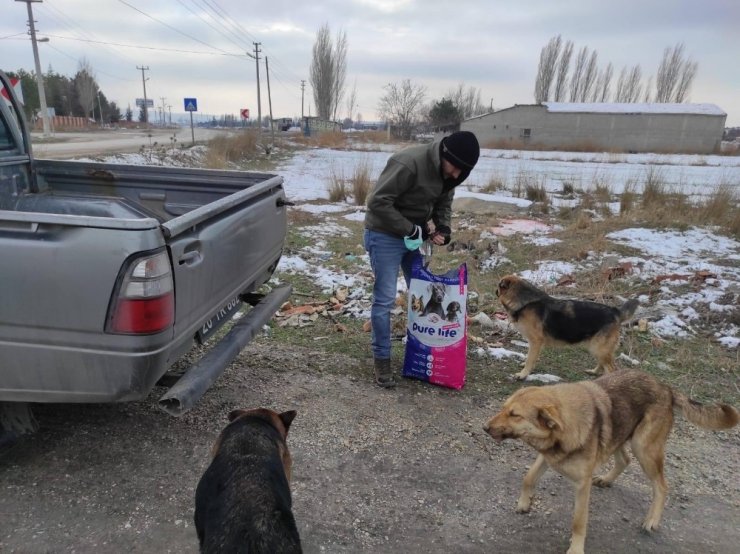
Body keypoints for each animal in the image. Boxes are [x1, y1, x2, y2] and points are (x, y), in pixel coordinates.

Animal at [482, 368, 736, 552]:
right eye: (503, 408)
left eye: (515, 415)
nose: (484, 427)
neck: (562, 430)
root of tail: (665, 387)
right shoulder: (547, 457)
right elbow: (528, 477)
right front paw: (524, 503)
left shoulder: (581, 485)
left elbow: (578, 521)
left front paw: (576, 549)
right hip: (621, 436)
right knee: (624, 459)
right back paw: (606, 479)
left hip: (644, 448)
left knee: (661, 486)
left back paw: (652, 520)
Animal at [494, 272, 640, 378]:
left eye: (499, 286)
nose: (495, 291)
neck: (525, 301)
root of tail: (615, 311)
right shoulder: (534, 344)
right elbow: (531, 357)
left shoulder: (536, 341)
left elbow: (530, 359)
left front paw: (523, 374)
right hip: (597, 348)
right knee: (603, 364)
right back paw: (594, 372)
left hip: (600, 348)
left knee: (611, 368)